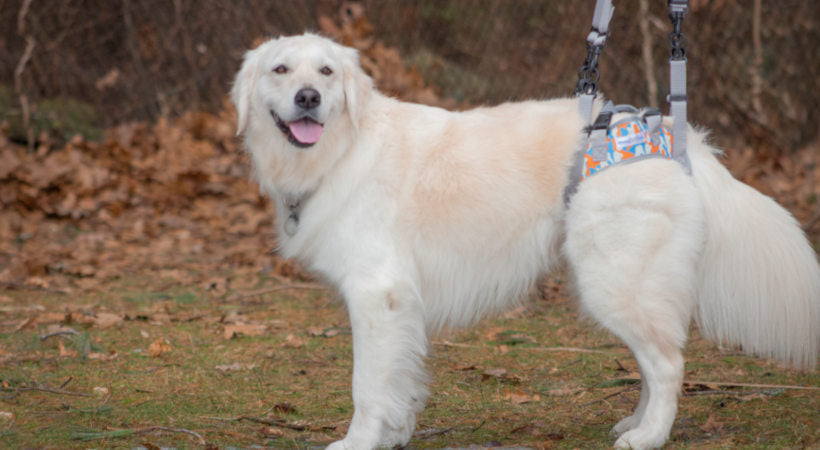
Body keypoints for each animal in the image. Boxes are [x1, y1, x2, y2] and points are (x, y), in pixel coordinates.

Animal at [232, 33, 820, 448]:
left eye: (326, 71)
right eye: (280, 69)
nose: (308, 97)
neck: (341, 150)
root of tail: (675, 138)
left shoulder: (378, 296)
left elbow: (367, 385)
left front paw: (358, 441)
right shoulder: (400, 308)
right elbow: (399, 381)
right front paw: (395, 434)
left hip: (613, 282)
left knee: (670, 363)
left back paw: (648, 437)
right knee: (655, 362)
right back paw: (634, 422)